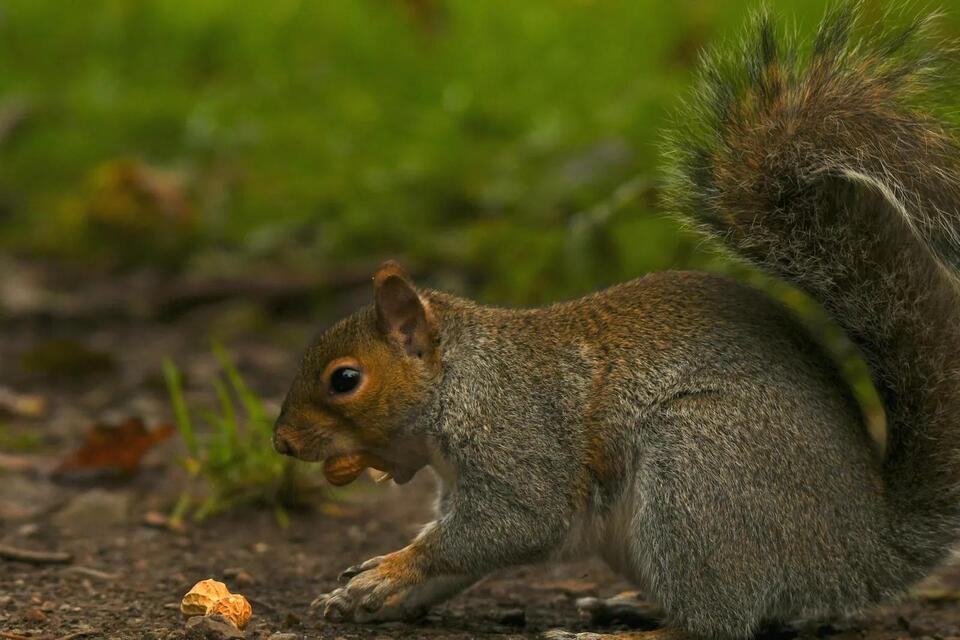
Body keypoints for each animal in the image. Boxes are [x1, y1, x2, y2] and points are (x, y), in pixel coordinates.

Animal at [272, 5, 960, 639]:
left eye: (344, 379)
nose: (282, 442)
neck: (461, 378)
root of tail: (863, 551)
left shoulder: (518, 439)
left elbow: (510, 524)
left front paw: (391, 570)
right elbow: (464, 558)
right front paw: (371, 594)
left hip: (701, 473)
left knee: (715, 623)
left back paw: (617, 630)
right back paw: (627, 606)